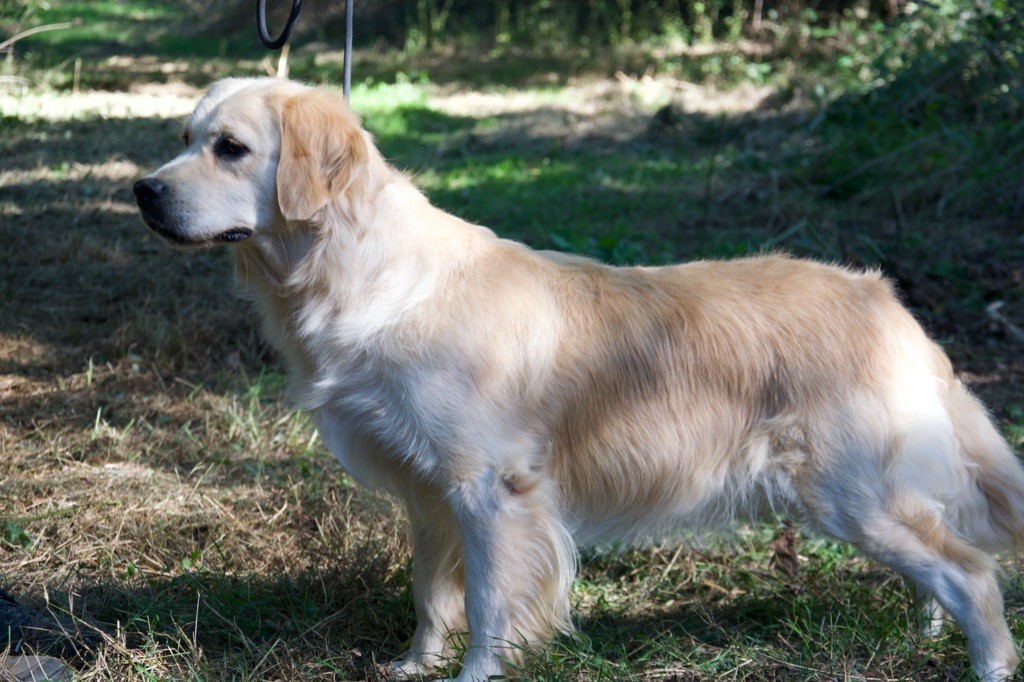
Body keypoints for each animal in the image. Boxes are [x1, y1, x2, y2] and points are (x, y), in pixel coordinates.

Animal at [134, 78, 1024, 675]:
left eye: (230, 148)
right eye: (183, 135)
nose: (143, 191)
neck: (357, 274)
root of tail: (889, 301)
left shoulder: (491, 488)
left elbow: (490, 601)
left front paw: (477, 673)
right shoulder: (428, 495)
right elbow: (430, 594)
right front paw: (417, 665)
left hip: (848, 494)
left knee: (974, 576)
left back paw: (986, 661)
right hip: (871, 499)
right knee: (942, 569)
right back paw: (924, 635)